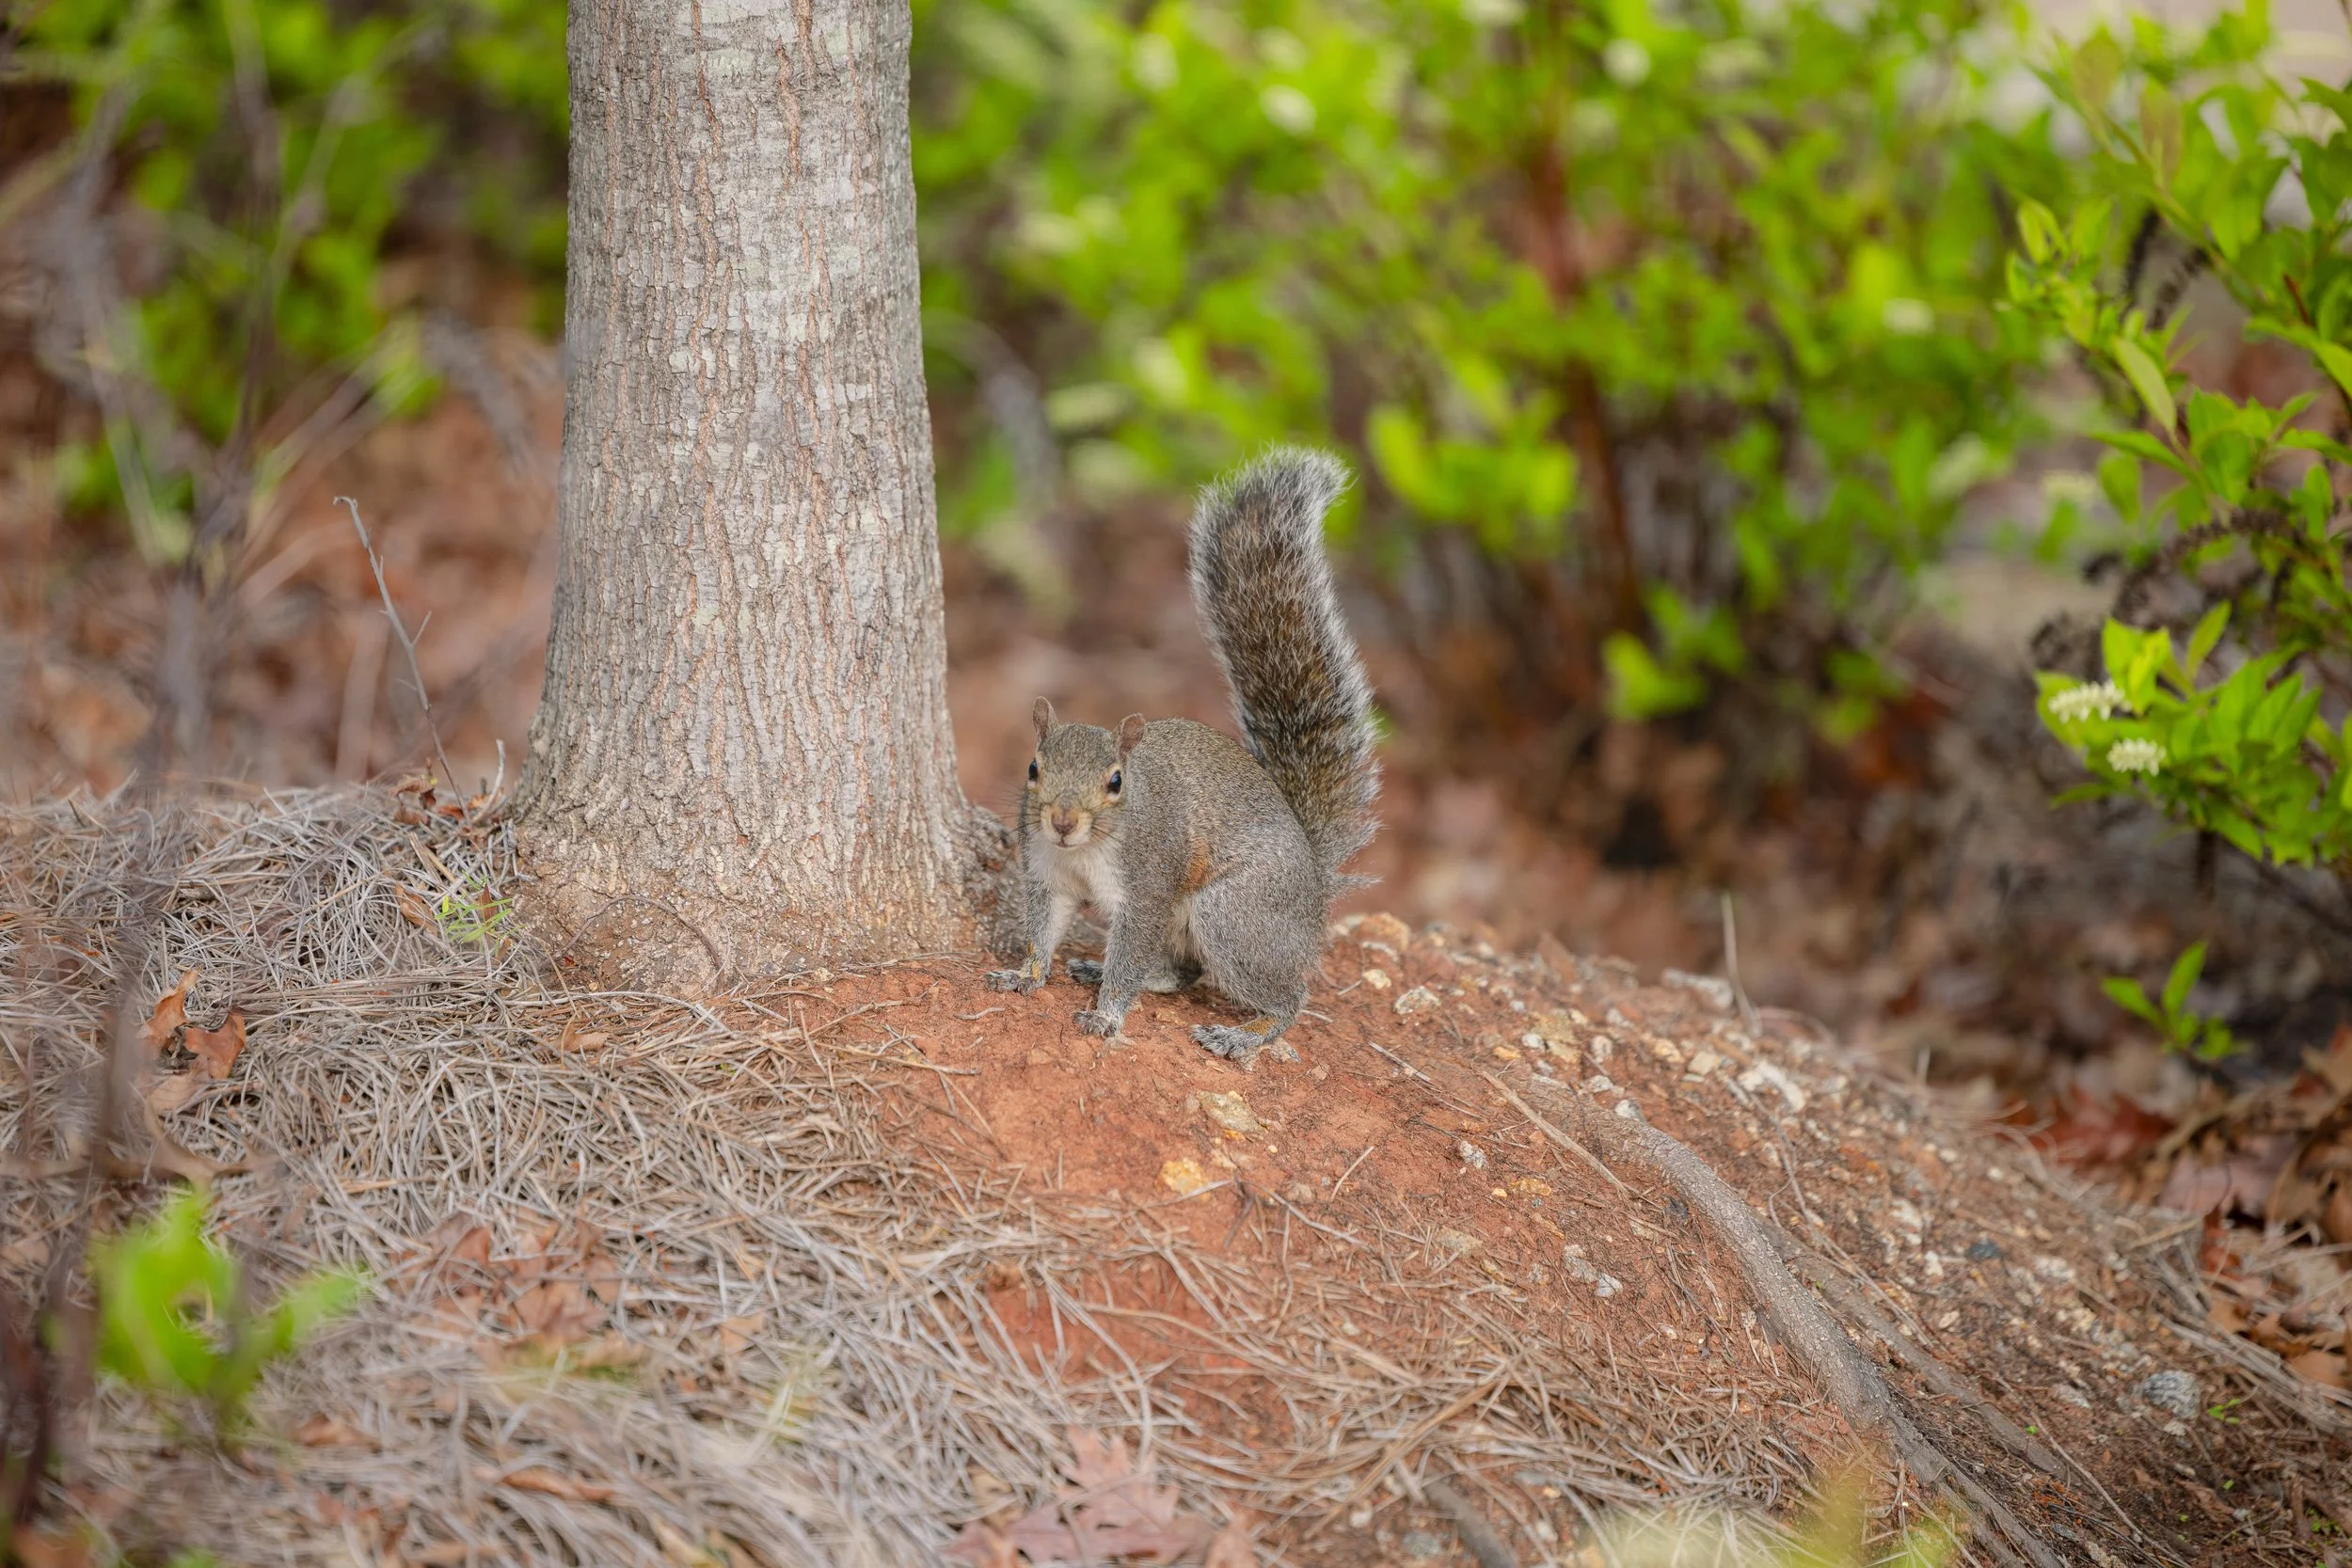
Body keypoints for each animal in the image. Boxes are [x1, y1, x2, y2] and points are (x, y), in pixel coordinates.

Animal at [986, 447, 1379, 1062]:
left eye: (1116, 781)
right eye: (1033, 768)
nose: (1063, 821)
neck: (1082, 852)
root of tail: (1315, 888)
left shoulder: (1147, 888)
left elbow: (1129, 952)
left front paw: (1108, 1016)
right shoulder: (1049, 874)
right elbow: (1043, 928)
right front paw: (1026, 973)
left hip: (1234, 915)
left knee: (1287, 995)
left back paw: (1245, 1034)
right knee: (1182, 972)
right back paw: (1100, 970)